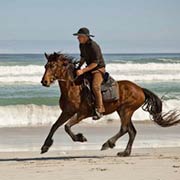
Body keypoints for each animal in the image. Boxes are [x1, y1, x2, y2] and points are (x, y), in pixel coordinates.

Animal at [40, 51, 180, 156]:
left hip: (126, 110)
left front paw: (80, 138)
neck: (73, 87)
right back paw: (125, 152)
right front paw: (45, 146)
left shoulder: (82, 113)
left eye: (53, 66)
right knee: (132, 131)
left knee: (124, 129)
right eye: (45, 66)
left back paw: (108, 143)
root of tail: (140, 89)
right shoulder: (67, 112)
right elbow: (55, 126)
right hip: (123, 111)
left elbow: (67, 127)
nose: (44, 82)